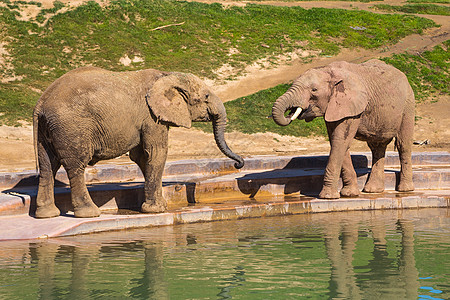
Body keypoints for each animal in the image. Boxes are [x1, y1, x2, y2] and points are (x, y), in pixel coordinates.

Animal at [33, 67, 244, 218]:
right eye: (206, 97)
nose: (238, 164)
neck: (167, 75)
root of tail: (41, 104)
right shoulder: (151, 116)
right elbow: (156, 153)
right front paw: (157, 210)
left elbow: (142, 156)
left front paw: (159, 206)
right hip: (71, 126)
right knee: (75, 165)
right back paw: (89, 214)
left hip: (48, 129)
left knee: (47, 166)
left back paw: (46, 215)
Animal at [270, 58, 414, 199]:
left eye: (314, 90)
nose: (290, 113)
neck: (329, 71)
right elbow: (337, 141)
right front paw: (349, 194)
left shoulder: (351, 106)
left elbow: (340, 141)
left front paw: (327, 197)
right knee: (377, 147)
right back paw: (373, 191)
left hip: (408, 105)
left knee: (403, 145)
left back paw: (405, 190)